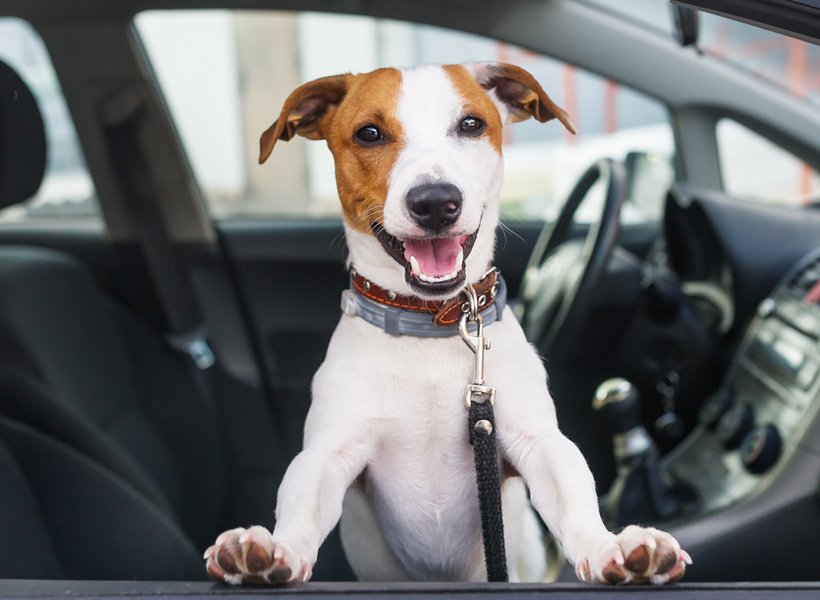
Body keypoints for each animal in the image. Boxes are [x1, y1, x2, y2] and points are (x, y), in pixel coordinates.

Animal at [202, 63, 688, 584]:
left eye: (471, 124)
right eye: (369, 133)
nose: (435, 201)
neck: (429, 324)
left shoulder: (535, 441)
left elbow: (573, 493)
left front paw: (610, 547)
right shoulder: (329, 452)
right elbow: (302, 503)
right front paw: (274, 551)